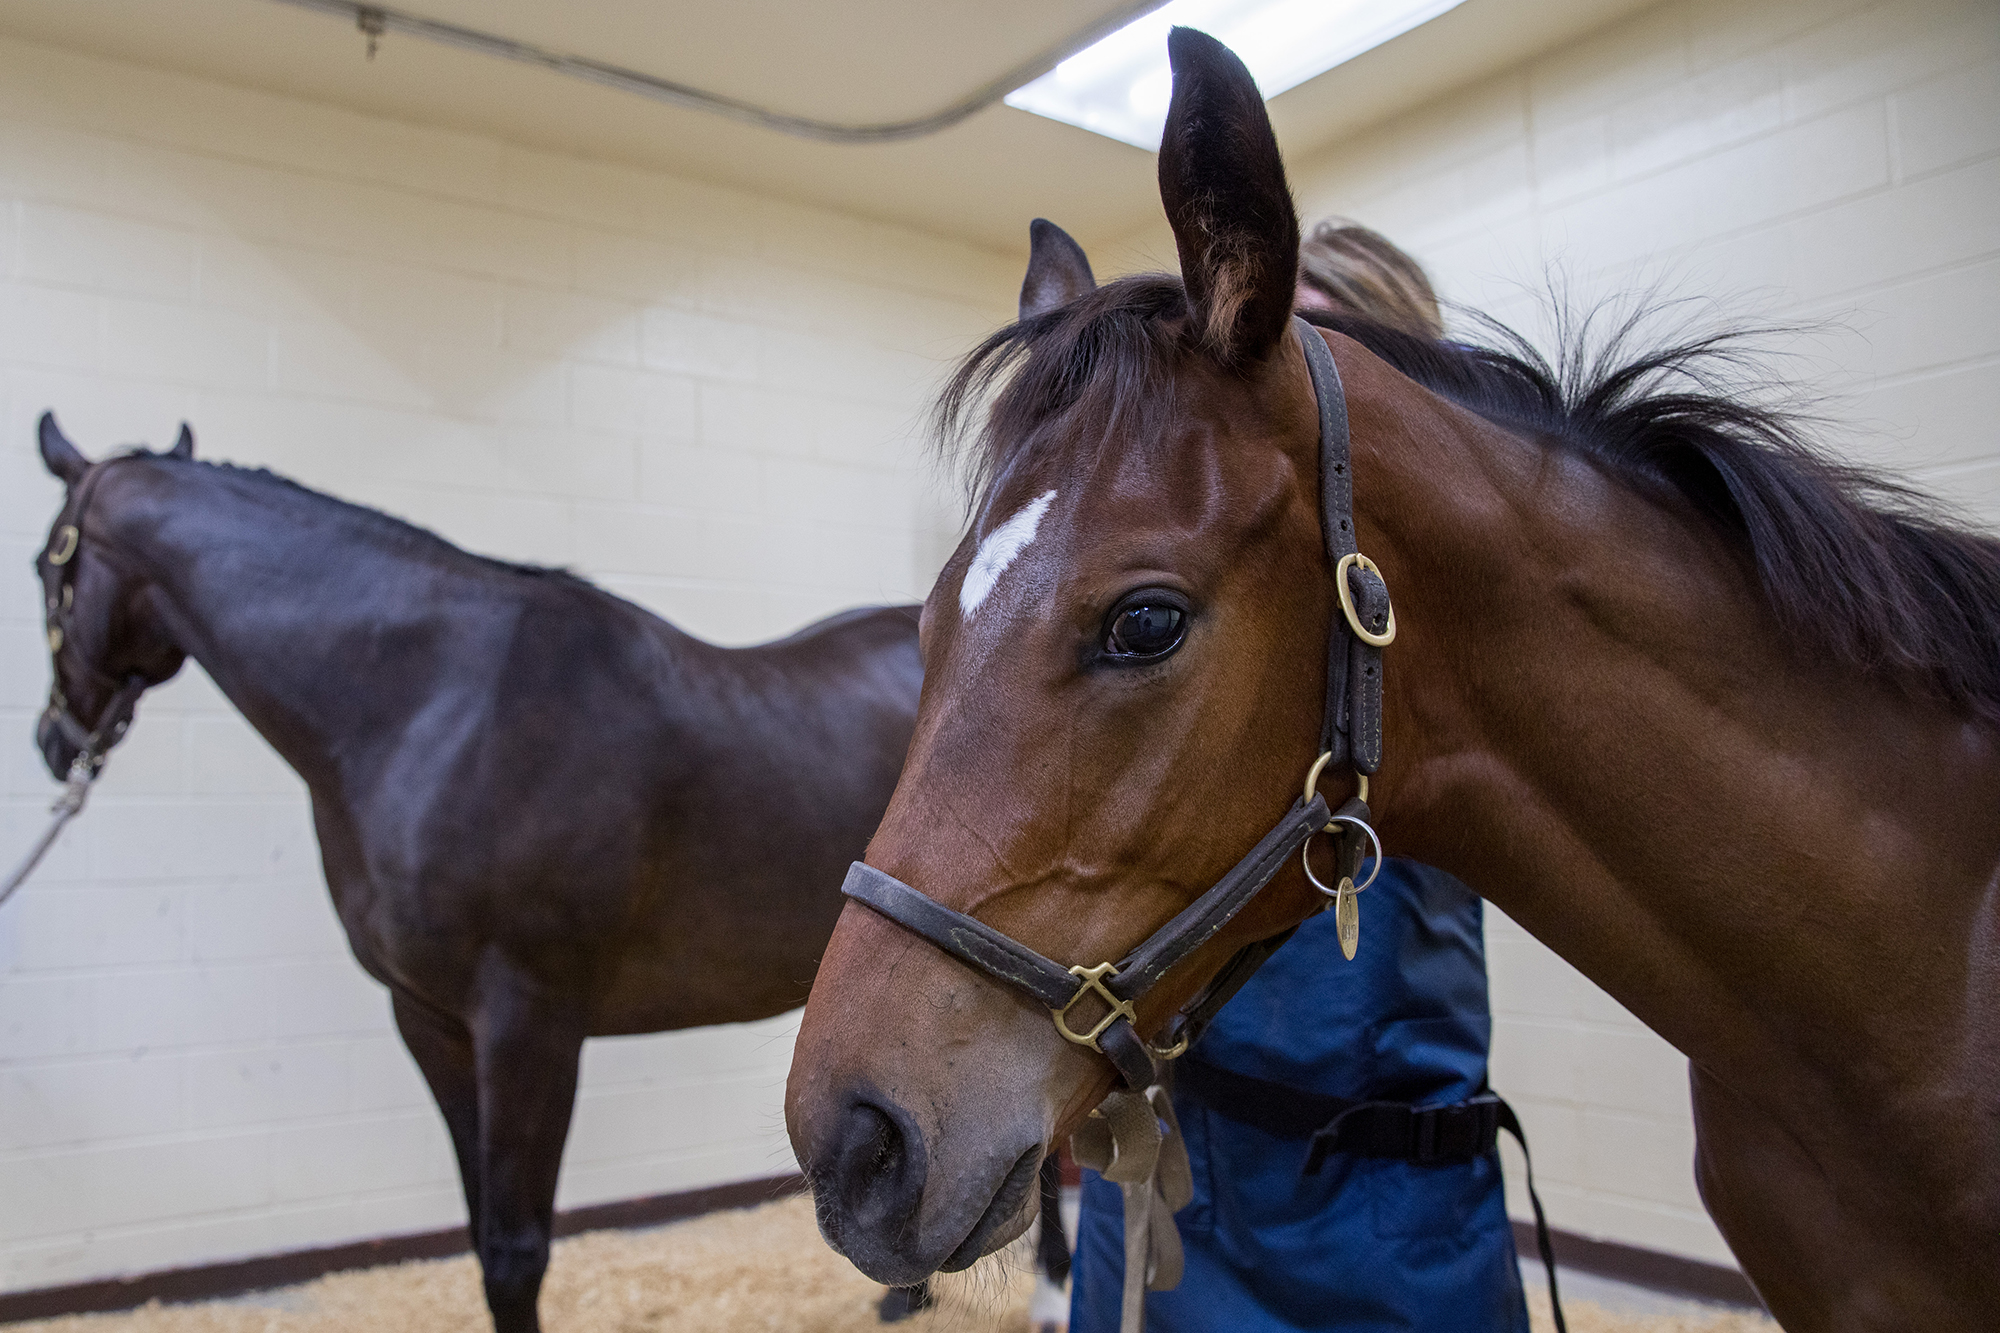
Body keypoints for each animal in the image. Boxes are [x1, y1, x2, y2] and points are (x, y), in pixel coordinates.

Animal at [31, 418, 920, 1328]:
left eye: (41, 565)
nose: (54, 741)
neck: (432, 708)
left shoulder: (529, 1027)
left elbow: (515, 1252)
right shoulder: (431, 1020)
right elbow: (478, 1227)